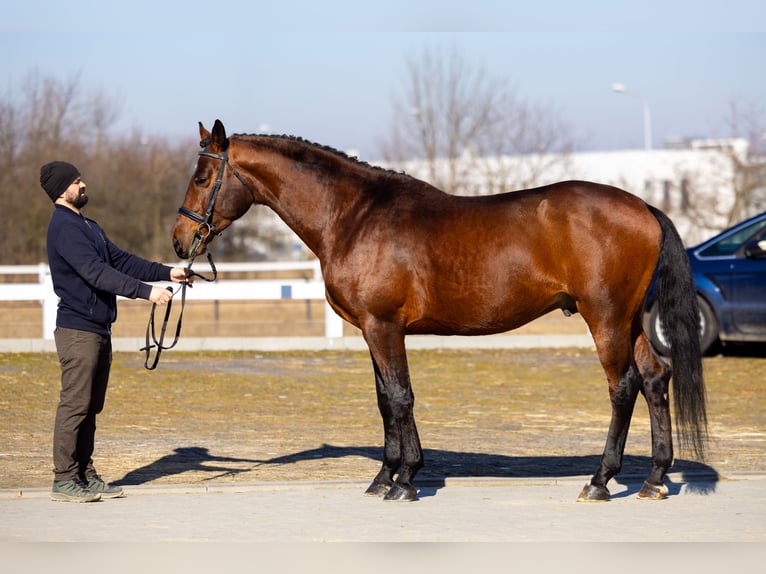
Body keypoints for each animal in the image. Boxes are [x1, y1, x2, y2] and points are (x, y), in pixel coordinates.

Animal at [172, 119, 708, 502]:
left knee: (624, 387)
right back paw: (654, 479)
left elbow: (399, 397)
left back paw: (599, 481)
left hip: (606, 319)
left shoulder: (384, 327)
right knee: (656, 378)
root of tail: (643, 207)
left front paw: (405, 480)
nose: (180, 241)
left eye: (202, 176)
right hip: (631, 321)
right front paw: (385, 476)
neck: (353, 216)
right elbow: (385, 400)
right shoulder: (371, 330)